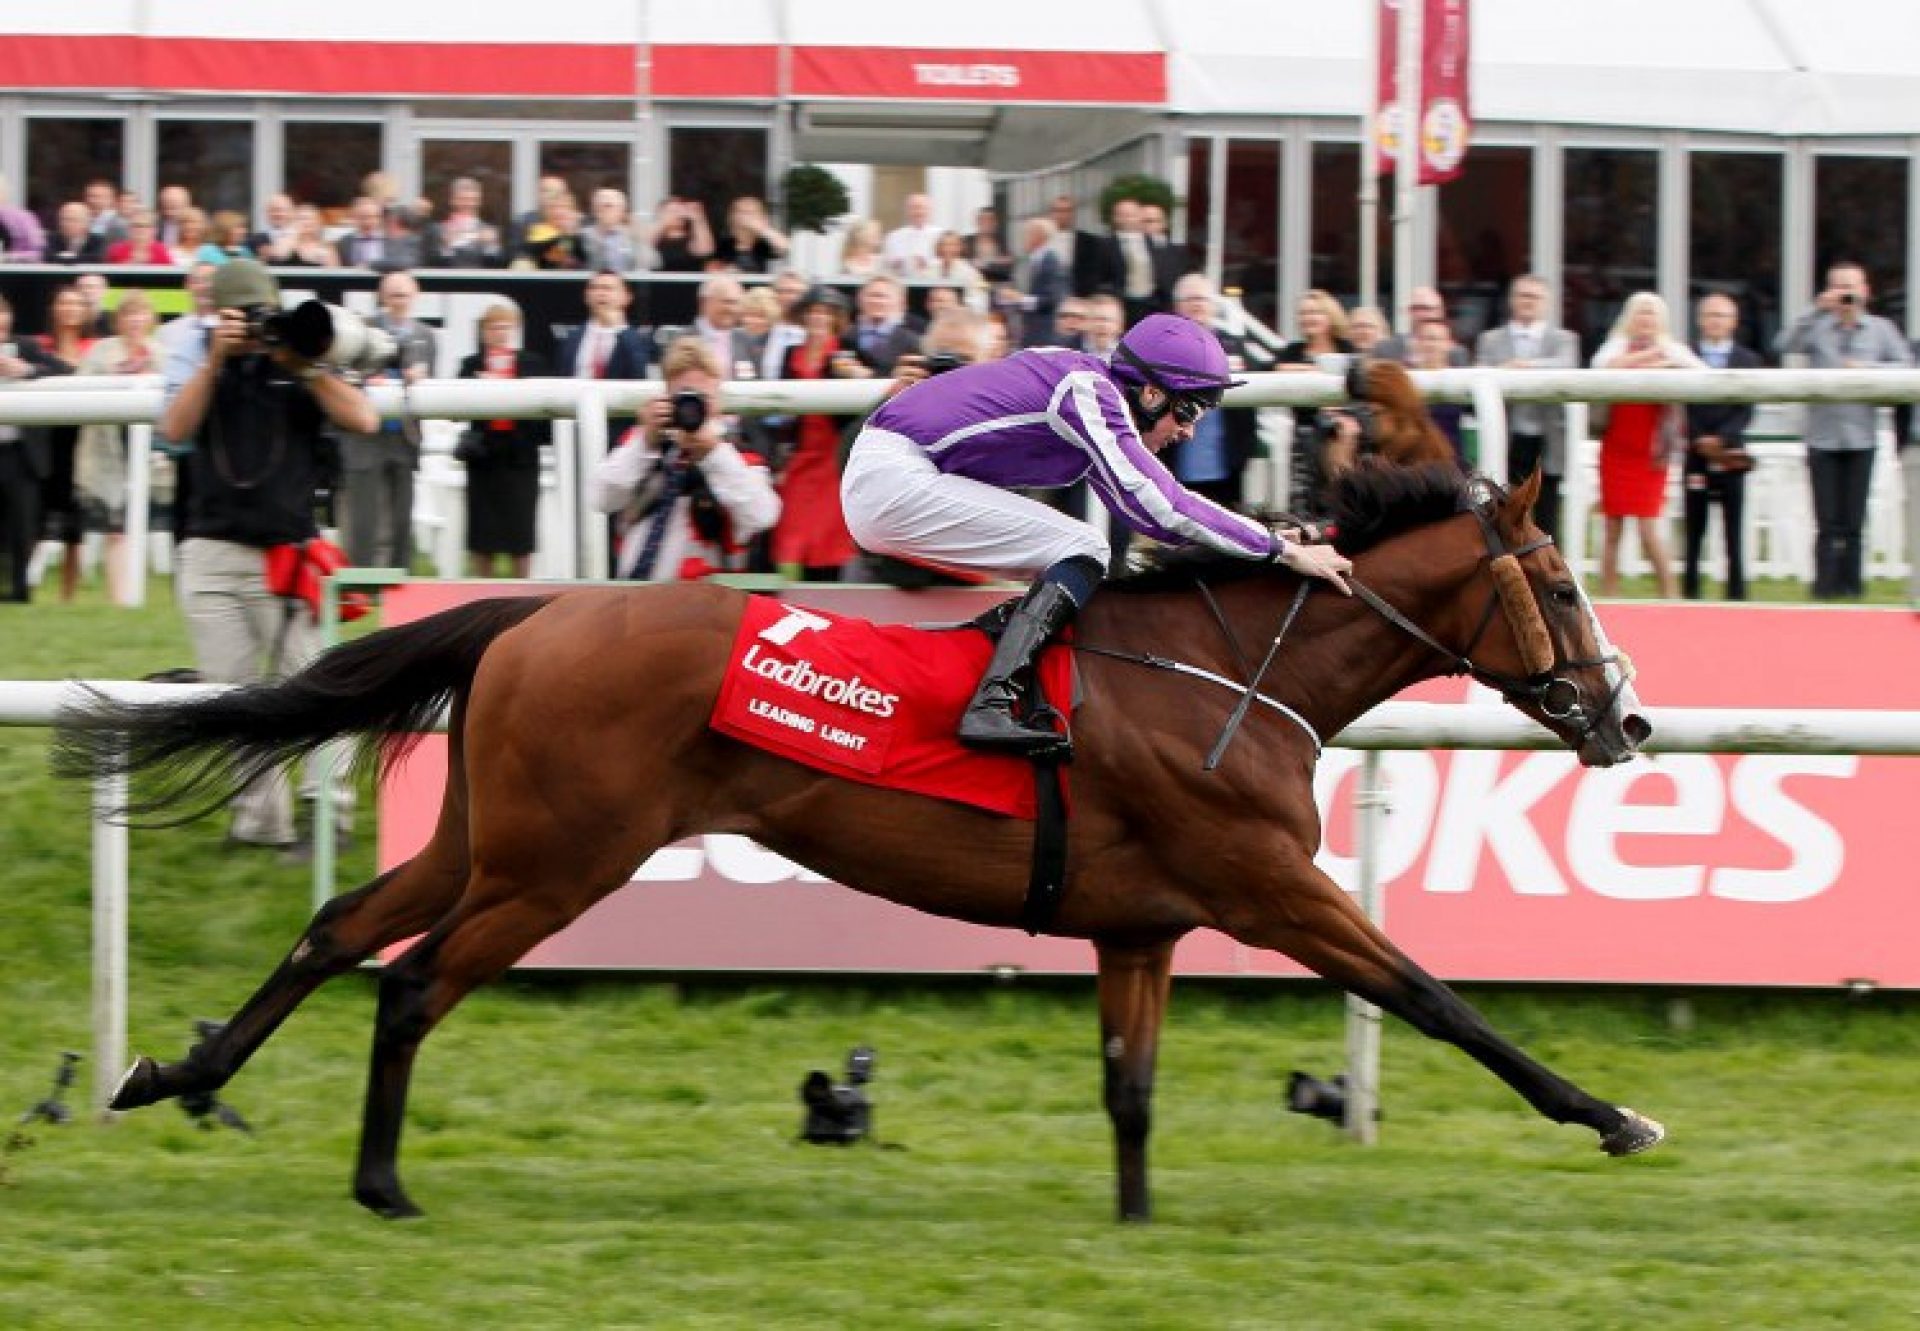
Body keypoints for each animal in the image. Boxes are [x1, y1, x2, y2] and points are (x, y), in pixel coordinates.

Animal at [52, 462, 1658, 1221]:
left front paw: (1139, 1223)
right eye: (1562, 581)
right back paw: (380, 1180)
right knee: (410, 980)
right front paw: (1614, 1116)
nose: (1626, 717)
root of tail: (537, 608)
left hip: (491, 834)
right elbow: (1436, 996)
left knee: (340, 930)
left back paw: (177, 1071)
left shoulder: (1140, 922)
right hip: (559, 860)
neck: (1232, 673)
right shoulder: (1268, 885)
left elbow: (1130, 1089)